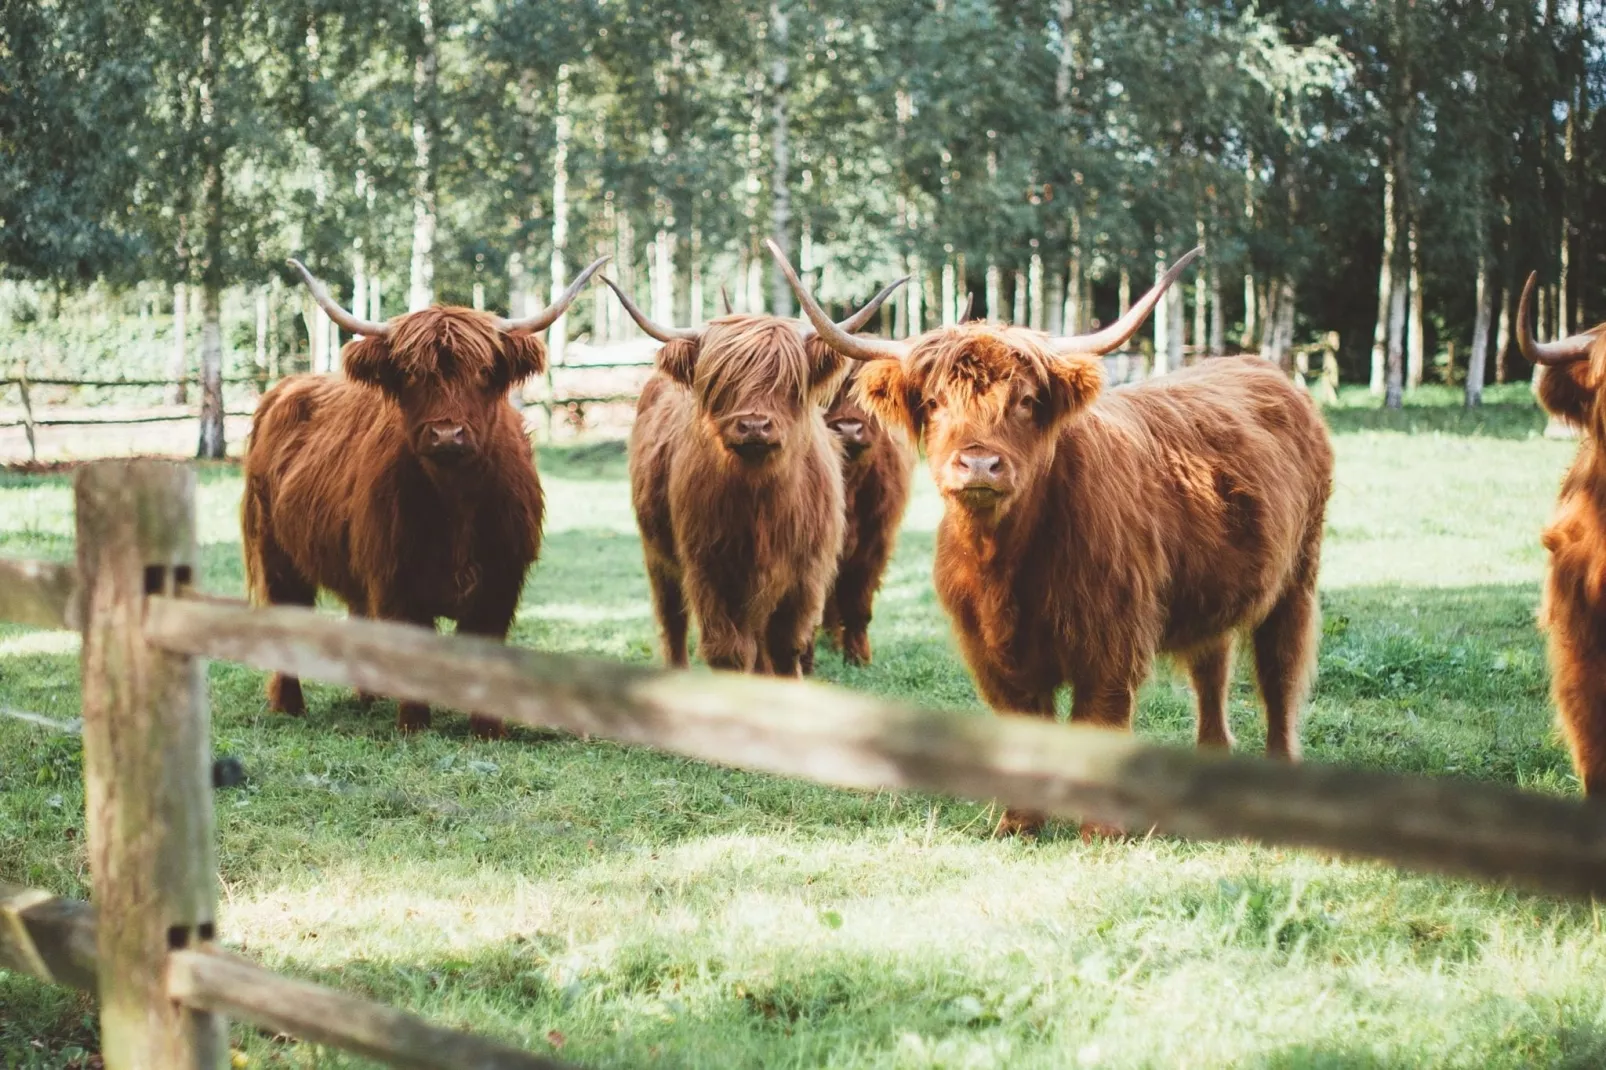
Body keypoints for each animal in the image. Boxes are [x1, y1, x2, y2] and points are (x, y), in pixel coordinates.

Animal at [240, 253, 603, 729]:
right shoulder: (395, 576)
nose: (447, 434)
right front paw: (414, 722)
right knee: (287, 618)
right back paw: (290, 704)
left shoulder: (501, 579)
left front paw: (488, 729)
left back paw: (368, 696)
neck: (458, 502)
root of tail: (284, 387)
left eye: (483, 371)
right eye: (412, 373)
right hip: (276, 554)